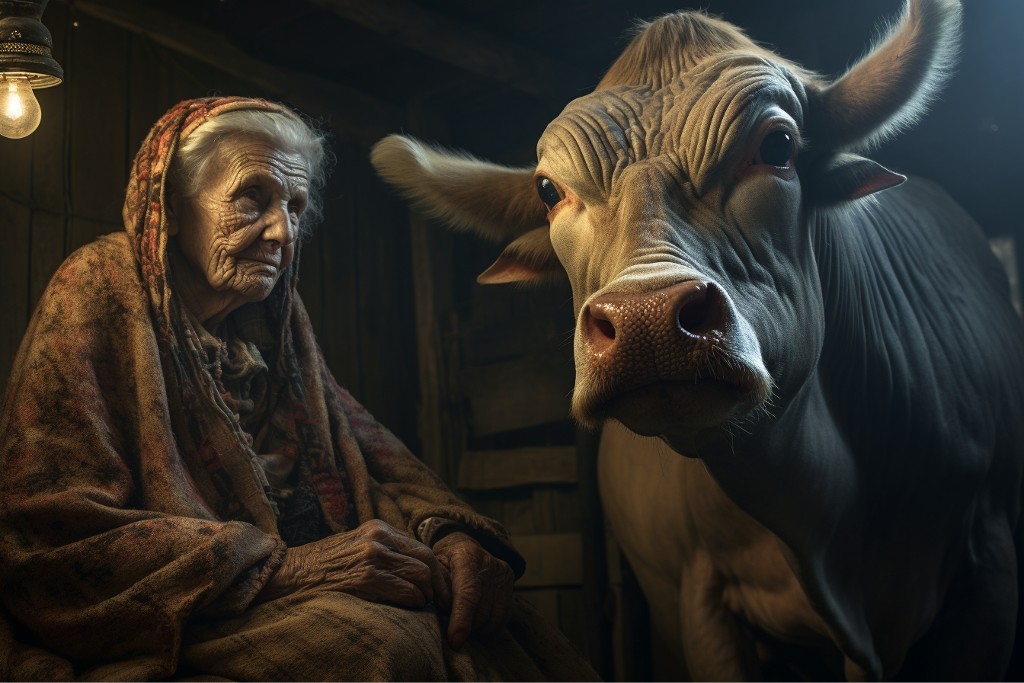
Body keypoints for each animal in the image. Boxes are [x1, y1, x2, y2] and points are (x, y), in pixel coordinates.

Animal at [370, 0, 1024, 679]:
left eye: (778, 145)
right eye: (549, 191)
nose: (646, 321)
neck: (824, 520)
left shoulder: (988, 575)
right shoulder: (697, 600)